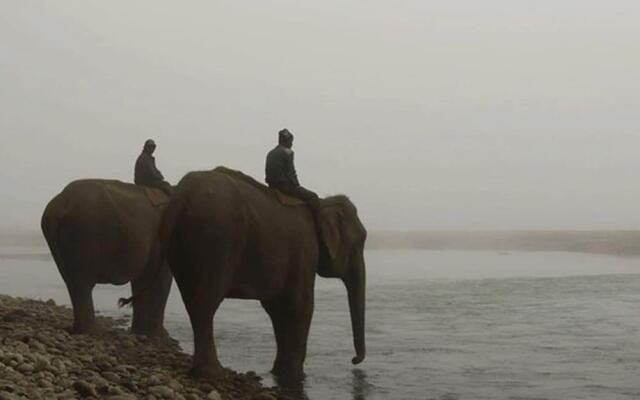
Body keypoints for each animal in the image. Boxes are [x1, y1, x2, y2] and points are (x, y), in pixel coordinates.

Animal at [41, 180, 174, 336]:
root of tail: (60, 204)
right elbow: (162, 280)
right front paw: (160, 337)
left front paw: (140, 333)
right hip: (84, 232)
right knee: (82, 283)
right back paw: (93, 332)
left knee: (71, 282)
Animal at [157, 167, 368, 380]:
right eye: (358, 244)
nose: (354, 360)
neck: (322, 204)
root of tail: (180, 197)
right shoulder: (305, 250)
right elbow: (301, 304)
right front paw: (295, 377)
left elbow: (276, 307)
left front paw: (278, 373)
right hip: (216, 239)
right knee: (205, 303)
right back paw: (213, 373)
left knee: (192, 301)